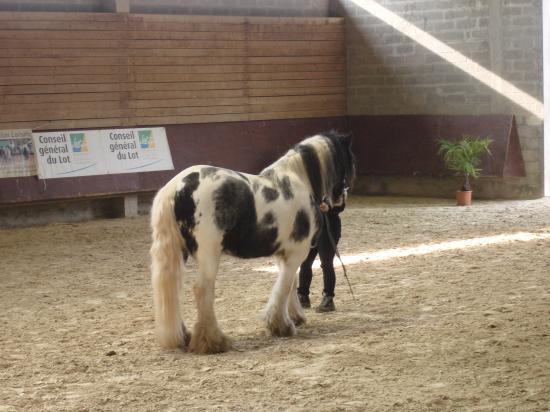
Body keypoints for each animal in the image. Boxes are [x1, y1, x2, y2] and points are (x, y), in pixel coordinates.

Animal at [151, 132, 358, 354]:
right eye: (347, 160)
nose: (341, 197)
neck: (298, 181)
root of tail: (175, 188)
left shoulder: (284, 254)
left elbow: (290, 283)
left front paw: (295, 317)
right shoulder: (297, 253)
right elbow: (284, 286)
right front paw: (280, 326)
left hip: (180, 252)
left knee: (174, 289)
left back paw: (184, 336)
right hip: (209, 253)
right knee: (202, 289)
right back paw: (213, 341)